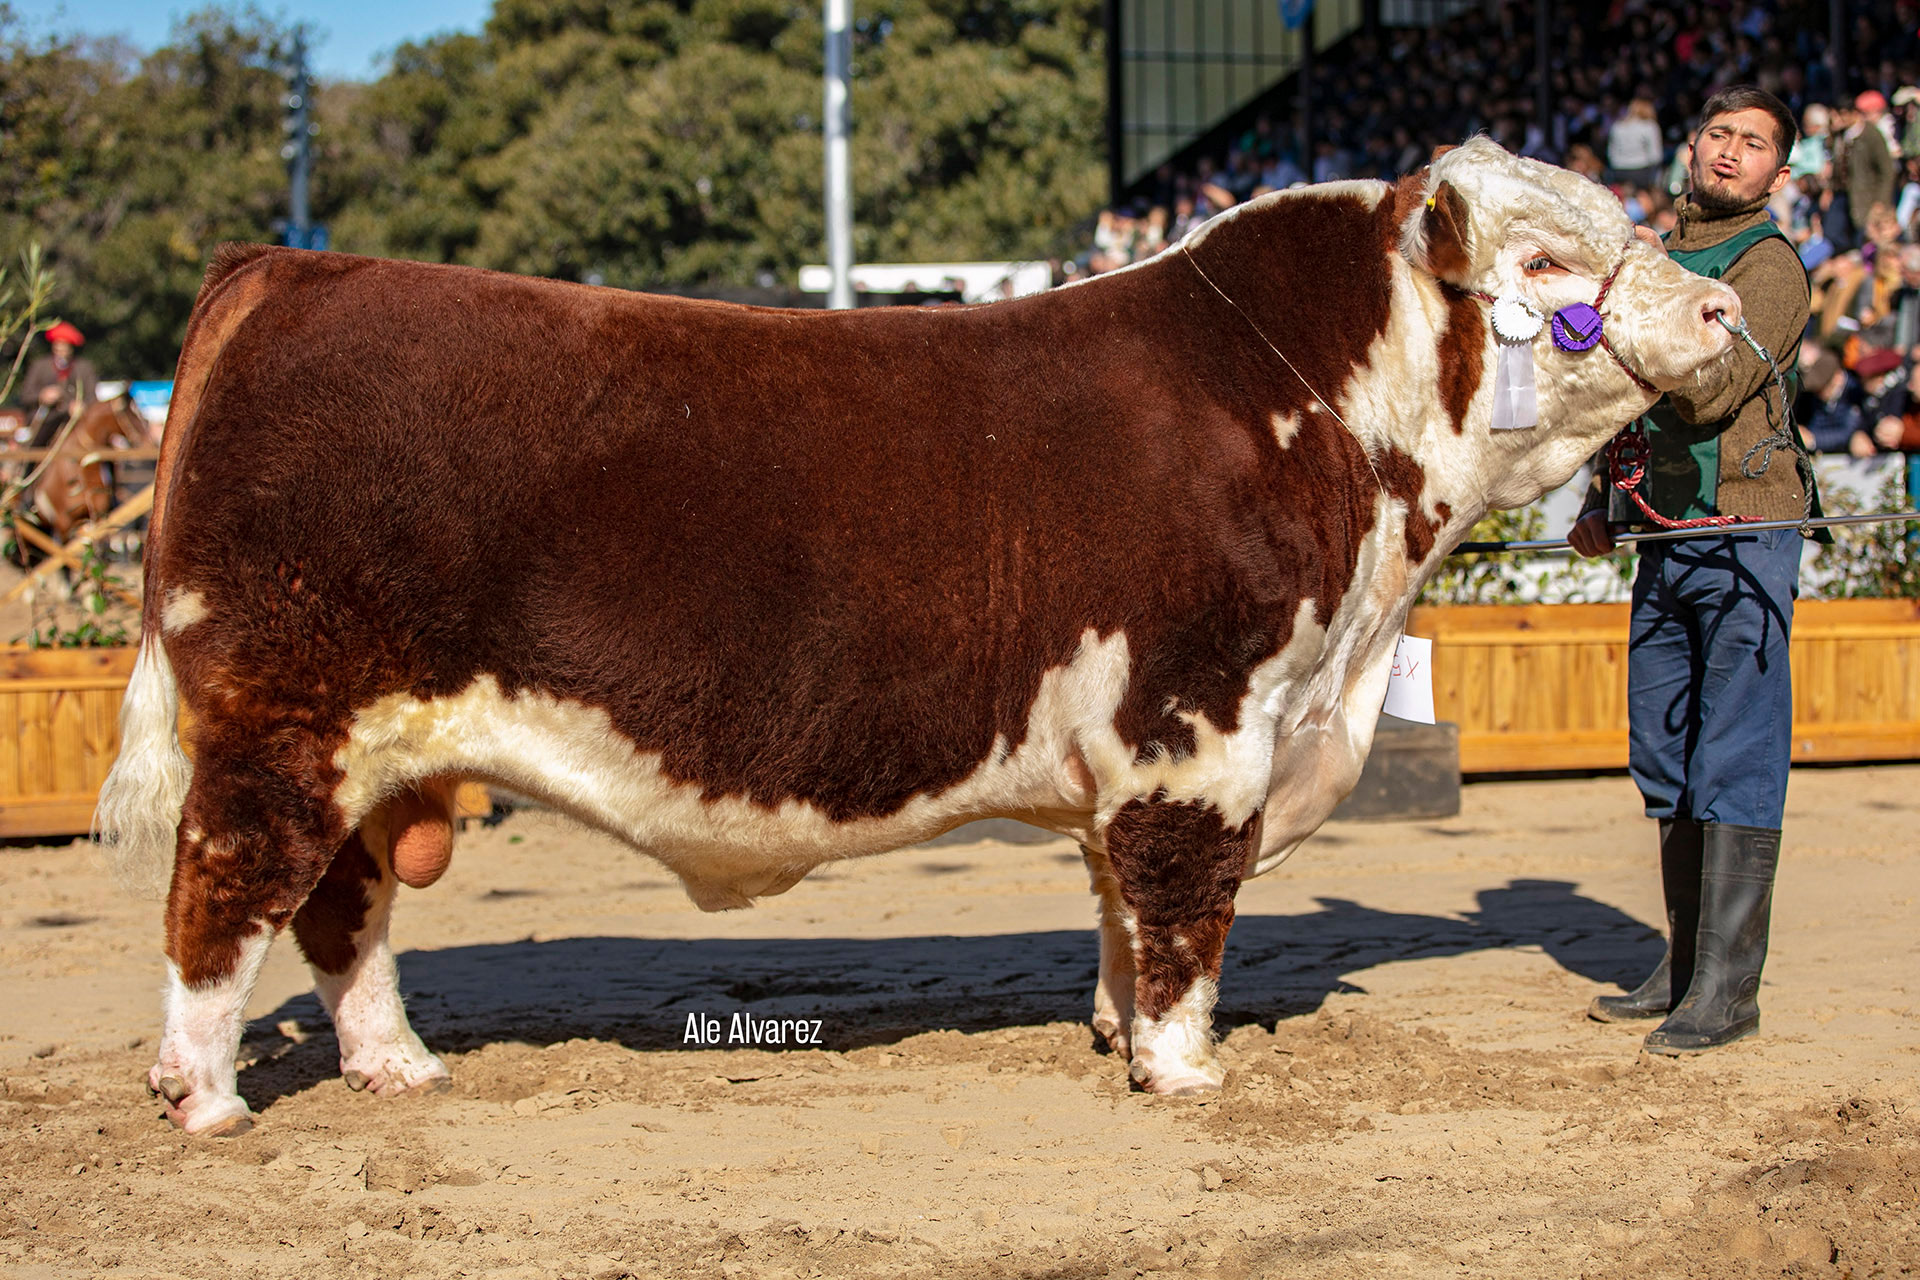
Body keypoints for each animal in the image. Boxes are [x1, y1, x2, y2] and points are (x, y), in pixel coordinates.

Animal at [93, 142, 1743, 1143]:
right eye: (1547, 265)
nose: (1728, 307)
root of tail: (288, 268)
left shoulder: (1144, 752)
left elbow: (1119, 911)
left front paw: (1116, 1040)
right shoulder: (1200, 729)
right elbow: (1184, 915)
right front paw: (1187, 1072)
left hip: (369, 753)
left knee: (346, 916)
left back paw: (395, 1065)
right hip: (281, 726)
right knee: (221, 902)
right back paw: (206, 1099)